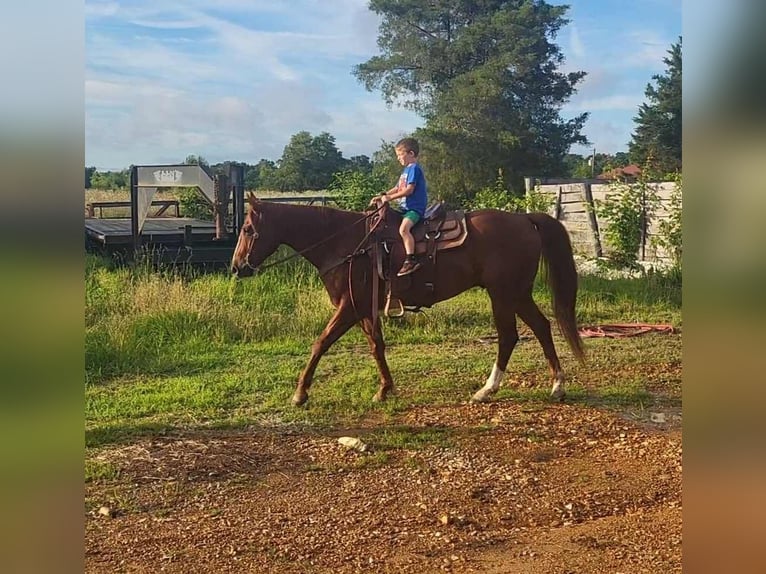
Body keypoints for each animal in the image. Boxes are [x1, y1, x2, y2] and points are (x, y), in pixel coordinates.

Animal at [231, 195, 585, 407]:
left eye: (247, 228)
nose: (236, 267)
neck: (347, 243)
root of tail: (525, 220)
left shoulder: (349, 308)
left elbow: (321, 343)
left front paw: (300, 393)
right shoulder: (364, 309)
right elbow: (377, 346)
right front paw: (385, 388)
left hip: (503, 293)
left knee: (509, 336)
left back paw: (488, 389)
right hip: (517, 293)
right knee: (541, 327)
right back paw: (557, 385)